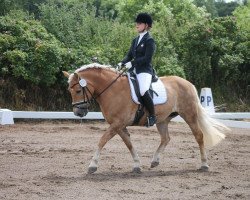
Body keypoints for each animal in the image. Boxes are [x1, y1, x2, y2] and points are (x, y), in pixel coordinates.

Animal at [62, 63, 229, 173]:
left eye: (78, 90)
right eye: (69, 90)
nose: (78, 112)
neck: (112, 89)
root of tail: (187, 83)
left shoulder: (117, 124)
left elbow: (102, 140)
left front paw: (92, 165)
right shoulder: (119, 125)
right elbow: (128, 143)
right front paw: (137, 165)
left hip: (189, 115)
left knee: (199, 135)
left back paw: (204, 165)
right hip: (163, 120)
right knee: (166, 138)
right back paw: (155, 161)